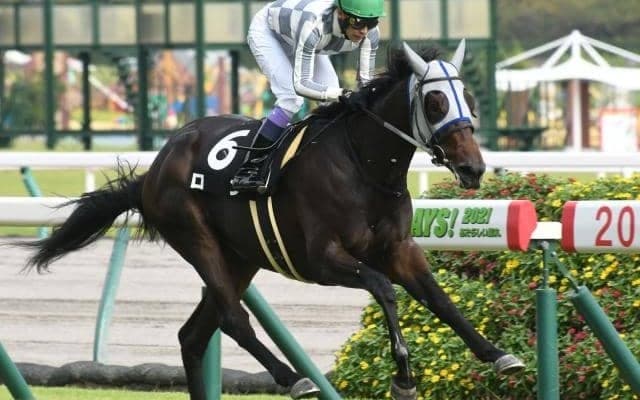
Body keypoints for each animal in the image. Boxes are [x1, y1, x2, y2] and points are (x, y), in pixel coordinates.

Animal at [20, 40, 524, 400]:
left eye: (470, 98)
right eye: (436, 102)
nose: (473, 167)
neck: (364, 165)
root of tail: (156, 167)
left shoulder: (399, 249)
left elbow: (439, 298)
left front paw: (498, 354)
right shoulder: (321, 260)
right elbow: (383, 289)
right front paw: (403, 377)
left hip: (240, 258)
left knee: (192, 335)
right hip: (197, 238)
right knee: (232, 319)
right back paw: (294, 377)